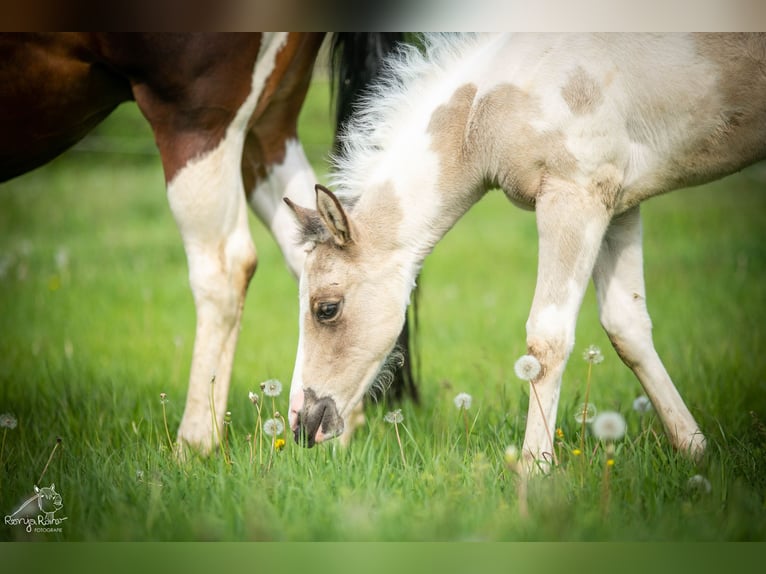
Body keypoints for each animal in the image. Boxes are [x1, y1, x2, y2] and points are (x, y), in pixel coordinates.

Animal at [284, 33, 766, 470]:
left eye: (326, 308)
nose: (302, 424)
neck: (489, 105)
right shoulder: (619, 205)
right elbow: (627, 328)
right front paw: (695, 450)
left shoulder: (574, 197)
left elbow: (547, 338)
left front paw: (535, 467)